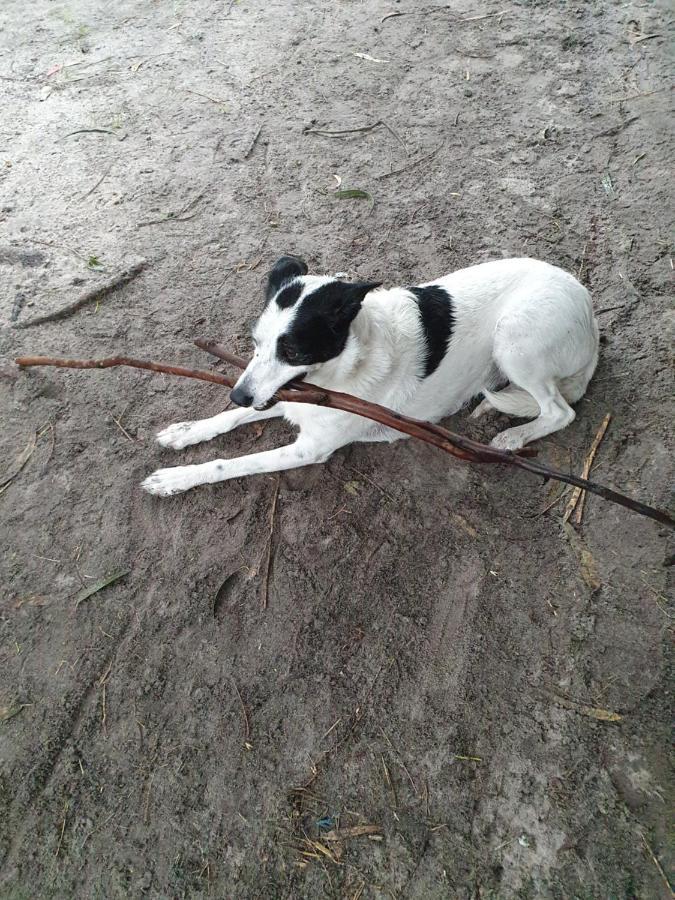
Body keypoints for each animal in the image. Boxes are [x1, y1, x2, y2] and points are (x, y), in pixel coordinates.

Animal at [141, 255, 596, 500]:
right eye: (255, 342)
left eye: (293, 352)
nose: (237, 394)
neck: (343, 368)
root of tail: (588, 307)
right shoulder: (281, 396)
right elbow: (230, 419)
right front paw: (186, 431)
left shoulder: (309, 446)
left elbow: (230, 464)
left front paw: (176, 478)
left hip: (514, 337)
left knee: (560, 411)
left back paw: (514, 436)